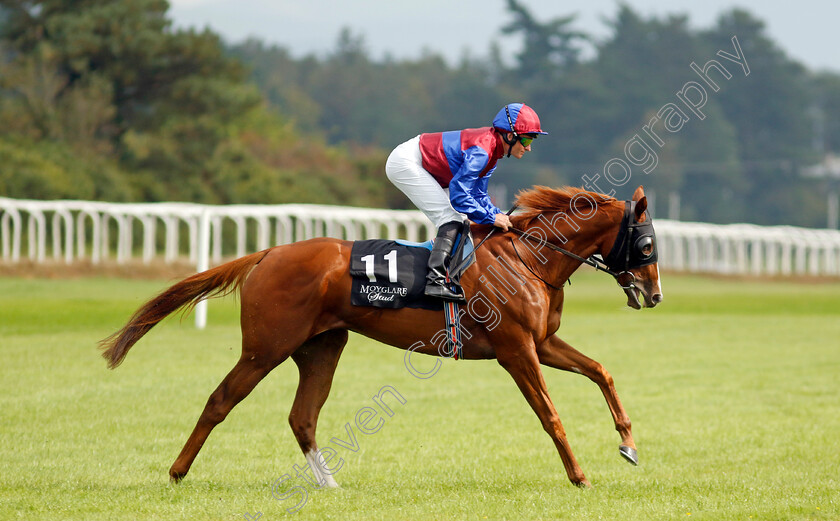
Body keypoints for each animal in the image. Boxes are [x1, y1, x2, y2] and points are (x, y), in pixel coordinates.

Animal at [100, 184, 664, 488]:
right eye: (646, 246)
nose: (655, 295)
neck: (529, 257)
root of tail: (268, 252)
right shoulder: (516, 350)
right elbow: (550, 415)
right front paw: (579, 475)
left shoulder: (542, 343)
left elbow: (602, 372)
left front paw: (629, 444)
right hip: (266, 347)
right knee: (220, 400)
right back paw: (177, 472)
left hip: (321, 347)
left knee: (302, 416)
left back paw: (329, 483)